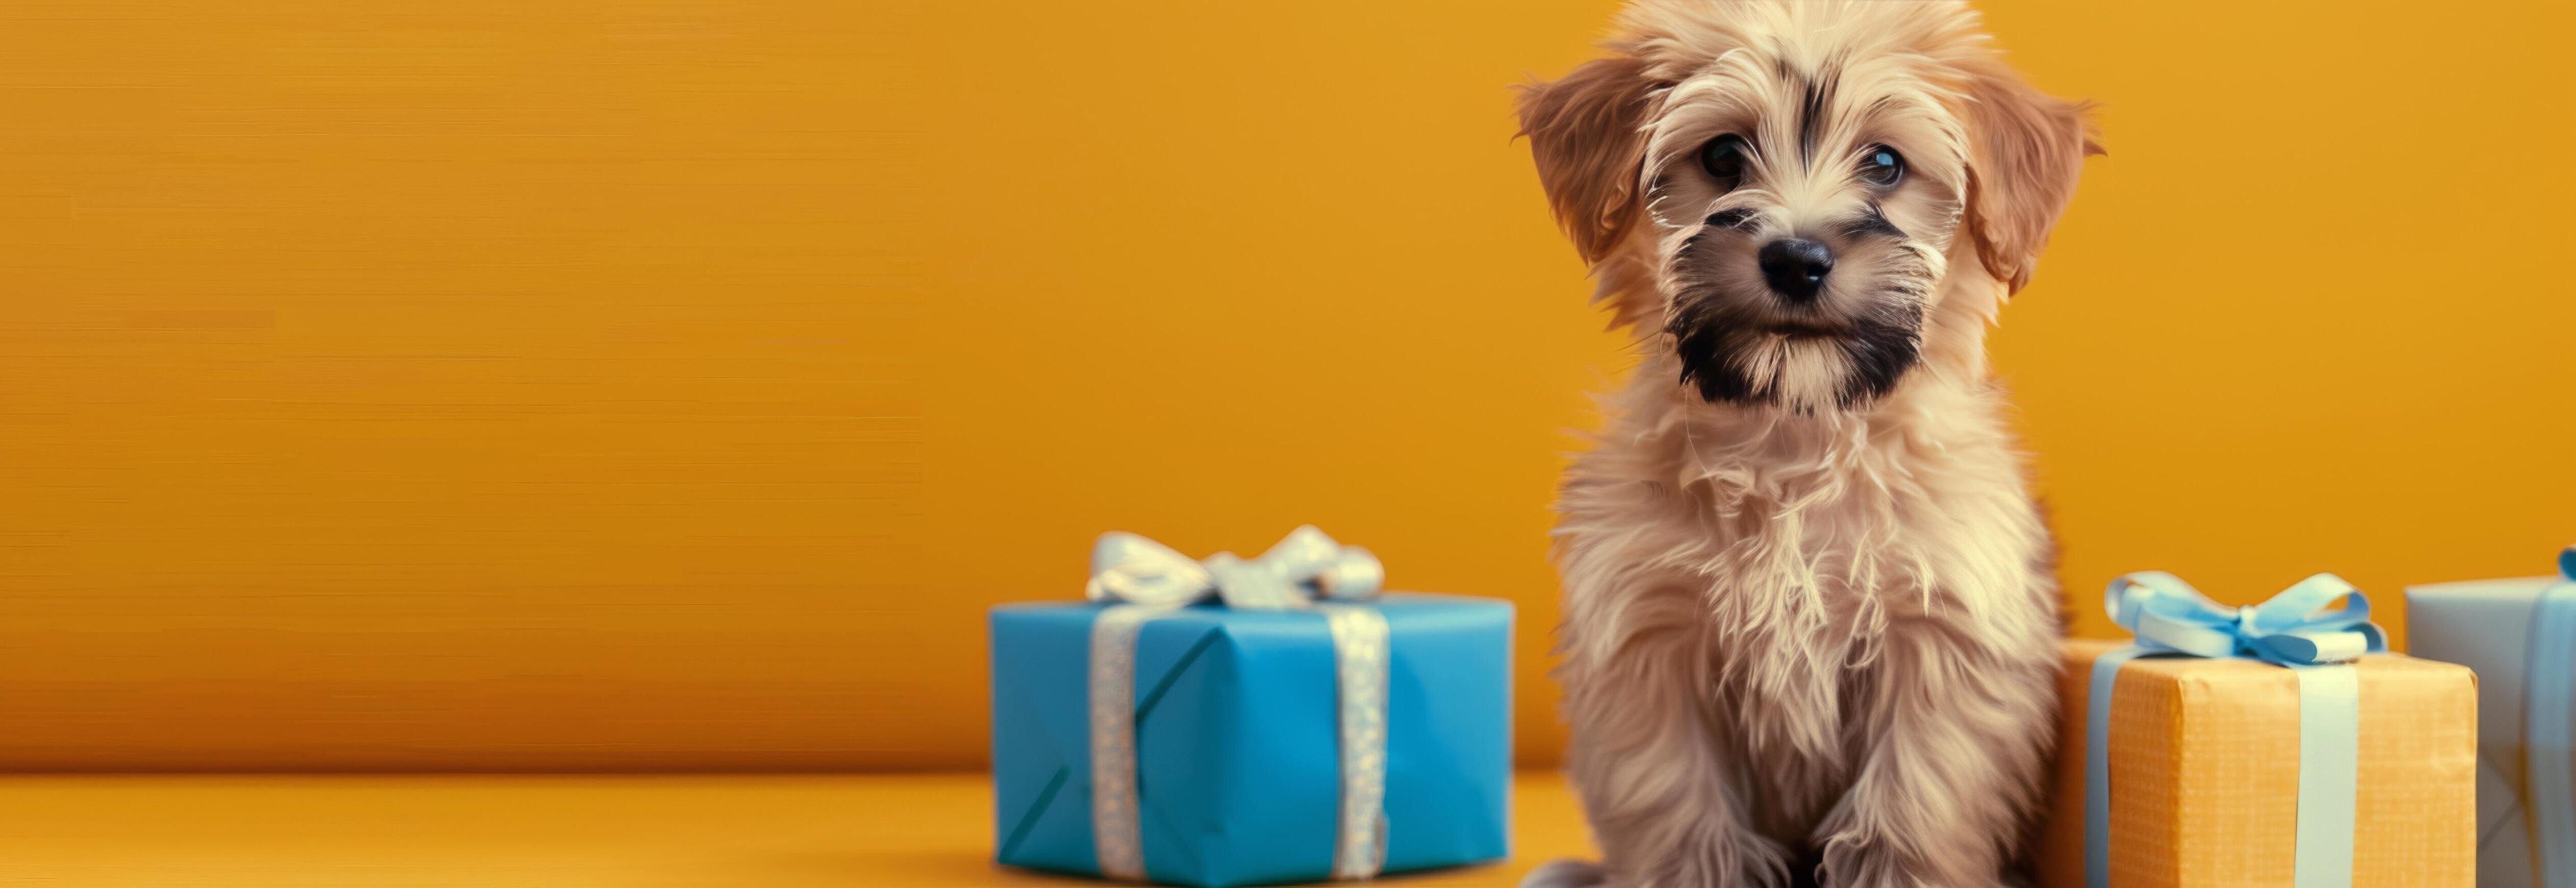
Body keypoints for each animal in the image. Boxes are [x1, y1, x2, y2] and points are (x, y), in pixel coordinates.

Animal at [1504, 2, 2091, 885]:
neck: (1791, 434)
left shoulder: (1945, 637)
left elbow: (1914, 806)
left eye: (1884, 163)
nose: (1796, 259)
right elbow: (1676, 805)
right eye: (1722, 157)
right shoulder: (1647, 641)